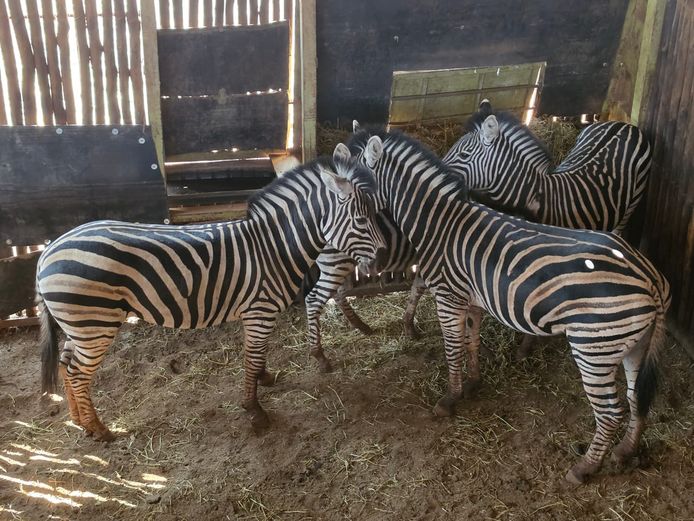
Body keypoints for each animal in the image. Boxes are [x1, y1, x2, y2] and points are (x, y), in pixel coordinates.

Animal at [37, 147, 386, 439]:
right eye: (361, 219)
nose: (383, 259)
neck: (273, 247)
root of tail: (49, 251)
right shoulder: (259, 311)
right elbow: (251, 357)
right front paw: (254, 410)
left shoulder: (260, 313)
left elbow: (258, 354)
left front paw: (264, 379)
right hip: (95, 322)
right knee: (78, 373)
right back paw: (100, 429)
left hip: (81, 325)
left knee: (66, 365)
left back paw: (79, 422)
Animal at [342, 128, 670, 484]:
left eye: (353, 185)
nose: (372, 263)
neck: (440, 225)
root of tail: (650, 276)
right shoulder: (472, 300)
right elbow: (471, 341)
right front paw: (473, 383)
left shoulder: (448, 296)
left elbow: (452, 349)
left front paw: (449, 399)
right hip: (635, 344)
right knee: (637, 398)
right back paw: (625, 452)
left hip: (593, 348)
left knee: (611, 412)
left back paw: (584, 468)